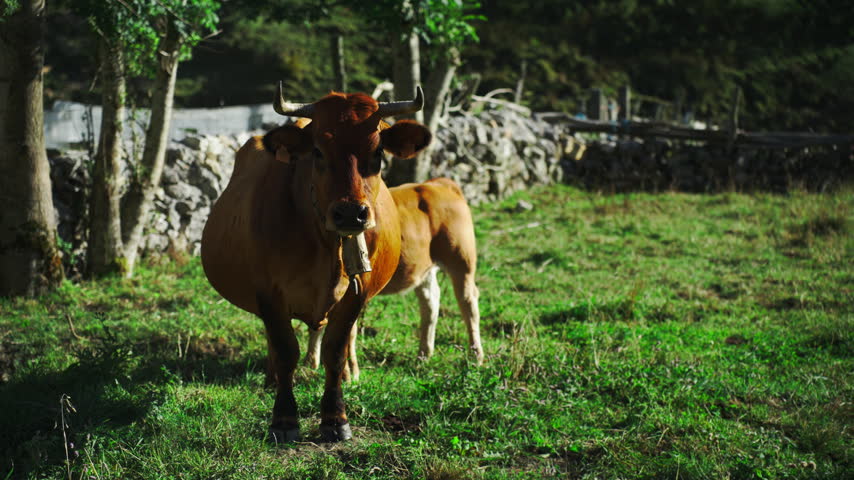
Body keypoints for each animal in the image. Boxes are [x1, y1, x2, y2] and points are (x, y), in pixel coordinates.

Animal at [202, 83, 448, 443]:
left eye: (378, 152)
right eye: (317, 152)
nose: (351, 213)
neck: (324, 243)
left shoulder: (358, 292)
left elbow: (335, 348)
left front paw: (335, 417)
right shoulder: (268, 292)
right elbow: (286, 349)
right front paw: (284, 418)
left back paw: (348, 373)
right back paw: (272, 378)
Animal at [303, 177, 485, 382]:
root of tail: (438, 183)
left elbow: (349, 332)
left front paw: (350, 374)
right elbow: (317, 325)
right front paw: (309, 364)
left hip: (461, 259)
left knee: (468, 303)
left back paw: (475, 355)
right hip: (425, 268)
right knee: (430, 302)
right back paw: (423, 355)